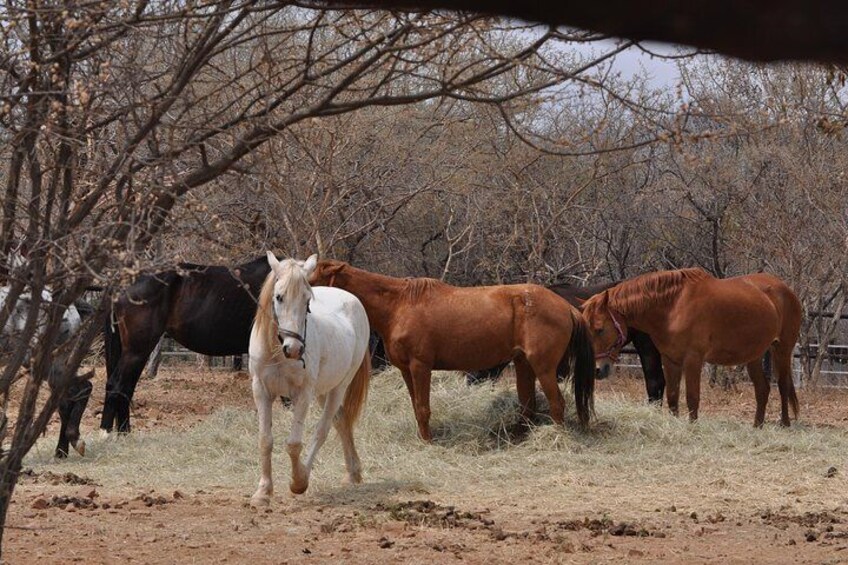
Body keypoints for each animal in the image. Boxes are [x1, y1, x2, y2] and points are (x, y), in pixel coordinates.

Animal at [252, 251, 372, 502]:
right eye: (279, 297)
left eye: (307, 301)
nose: (294, 349)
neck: (277, 352)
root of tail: (352, 299)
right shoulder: (261, 391)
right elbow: (265, 441)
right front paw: (263, 491)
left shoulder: (302, 395)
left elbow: (294, 443)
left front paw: (297, 482)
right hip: (323, 390)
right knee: (341, 421)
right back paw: (352, 473)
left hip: (338, 388)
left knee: (323, 429)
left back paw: (306, 475)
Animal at [310, 260, 596, 440]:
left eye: (312, 280)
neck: (399, 305)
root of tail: (567, 307)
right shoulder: (406, 370)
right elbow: (416, 406)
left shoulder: (420, 367)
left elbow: (423, 408)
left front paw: (429, 441)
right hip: (523, 364)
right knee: (528, 405)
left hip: (543, 367)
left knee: (556, 403)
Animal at [584, 266, 800, 426]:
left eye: (600, 329)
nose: (597, 370)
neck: (674, 306)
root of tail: (786, 289)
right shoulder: (670, 359)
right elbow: (672, 397)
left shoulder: (693, 359)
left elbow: (692, 397)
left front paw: (692, 426)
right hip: (754, 355)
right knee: (762, 388)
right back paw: (757, 426)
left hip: (782, 350)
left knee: (782, 385)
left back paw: (785, 423)